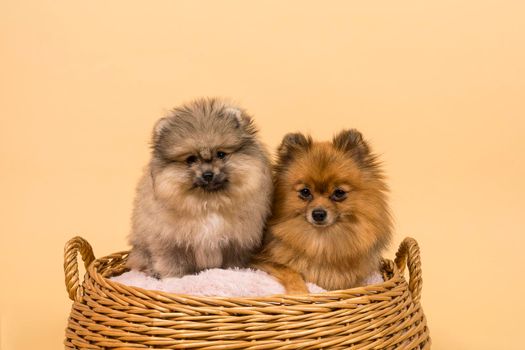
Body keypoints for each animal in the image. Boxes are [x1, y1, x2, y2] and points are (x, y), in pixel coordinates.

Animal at [128, 98, 272, 278]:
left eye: (221, 154)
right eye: (191, 159)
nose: (208, 174)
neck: (208, 202)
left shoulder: (235, 242)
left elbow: (232, 263)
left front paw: (234, 273)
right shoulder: (170, 241)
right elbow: (172, 264)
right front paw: (172, 279)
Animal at [252, 131, 390, 292]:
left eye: (339, 193)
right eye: (305, 192)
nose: (318, 214)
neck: (322, 241)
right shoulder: (261, 261)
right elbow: (290, 271)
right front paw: (299, 292)